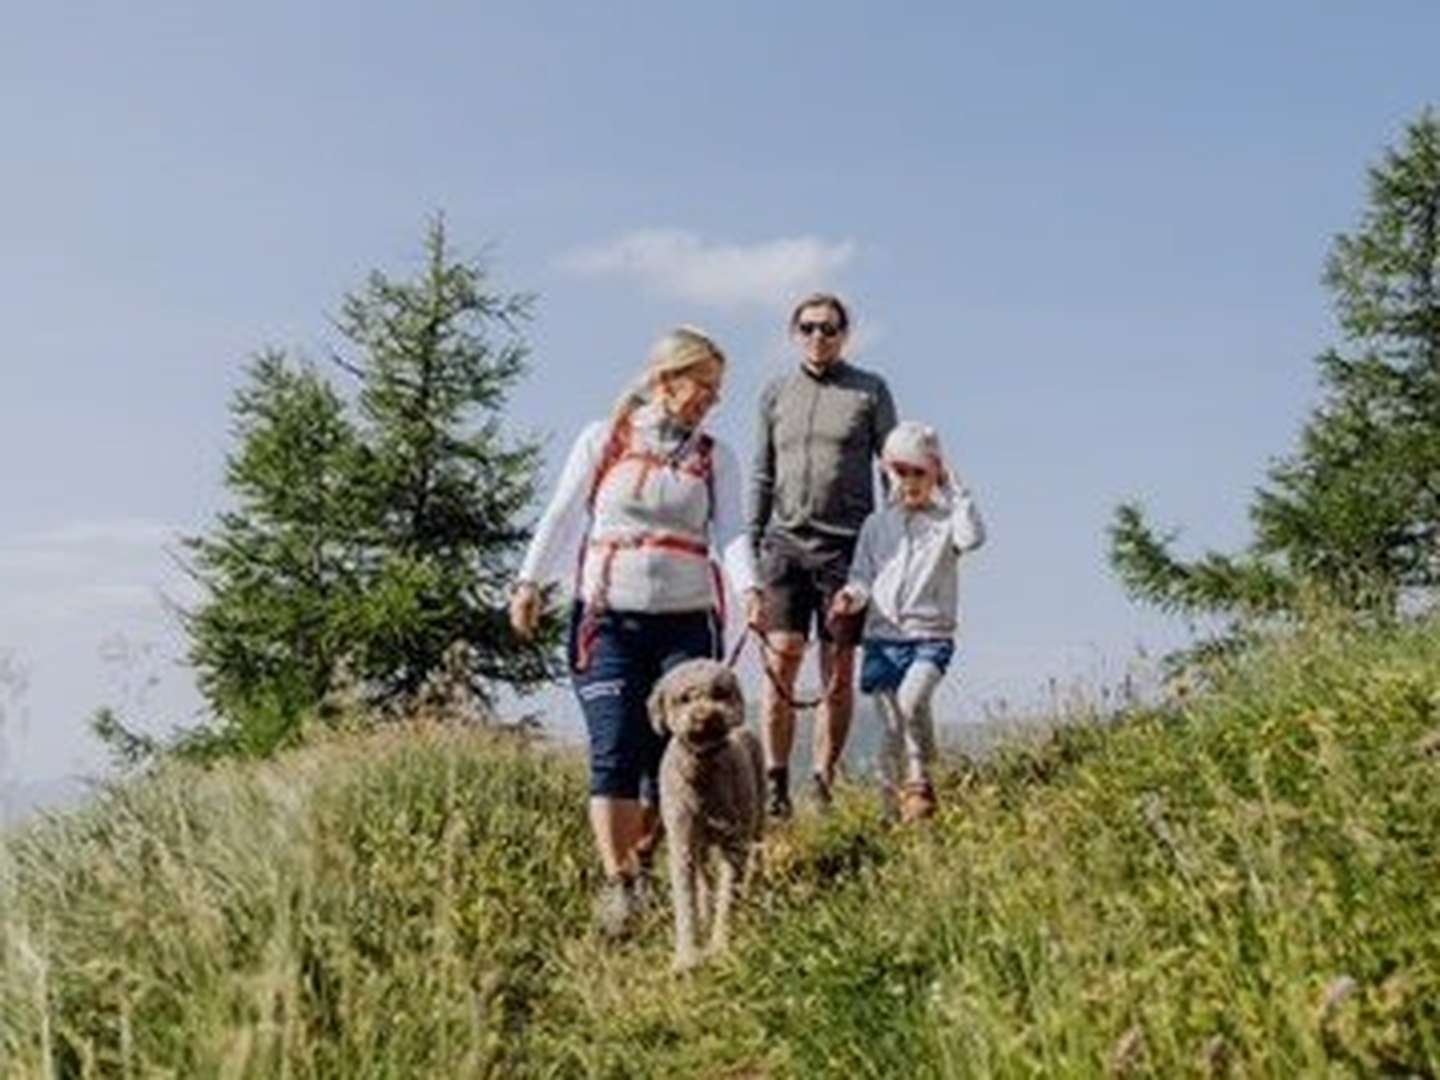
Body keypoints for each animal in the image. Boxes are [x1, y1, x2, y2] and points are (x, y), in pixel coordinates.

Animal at [650, 656, 771, 979]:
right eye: (684, 699)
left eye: (720, 693)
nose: (705, 717)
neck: (702, 774)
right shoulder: (681, 842)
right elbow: (685, 900)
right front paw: (686, 957)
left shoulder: (734, 841)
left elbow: (728, 895)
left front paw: (720, 947)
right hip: (700, 842)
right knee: (703, 876)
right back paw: (705, 908)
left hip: (757, 818)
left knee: (755, 854)